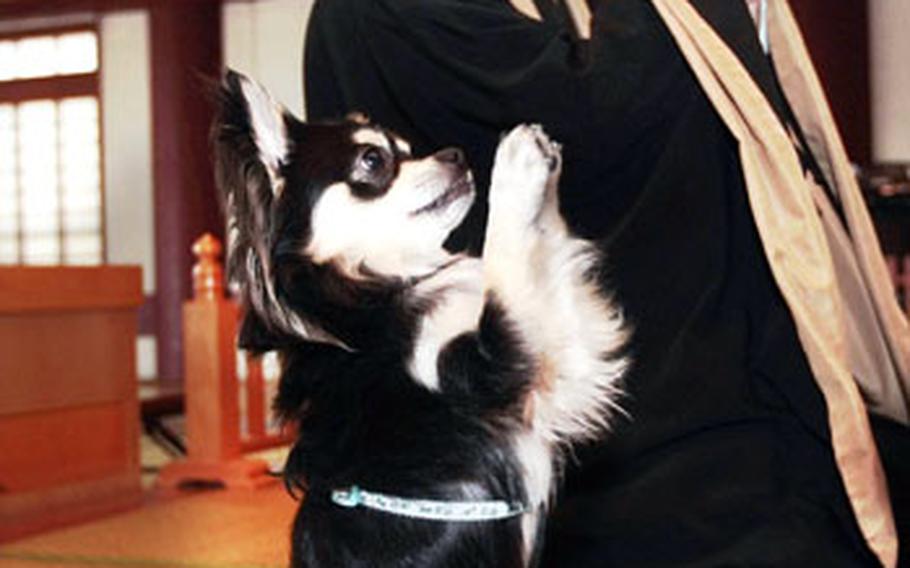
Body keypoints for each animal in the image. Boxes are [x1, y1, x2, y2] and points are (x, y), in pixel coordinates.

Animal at [216, 72, 628, 568]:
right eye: (373, 160)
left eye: (409, 149)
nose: (454, 154)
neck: (375, 291)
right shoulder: (494, 367)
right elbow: (504, 263)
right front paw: (515, 168)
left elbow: (539, 250)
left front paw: (541, 171)